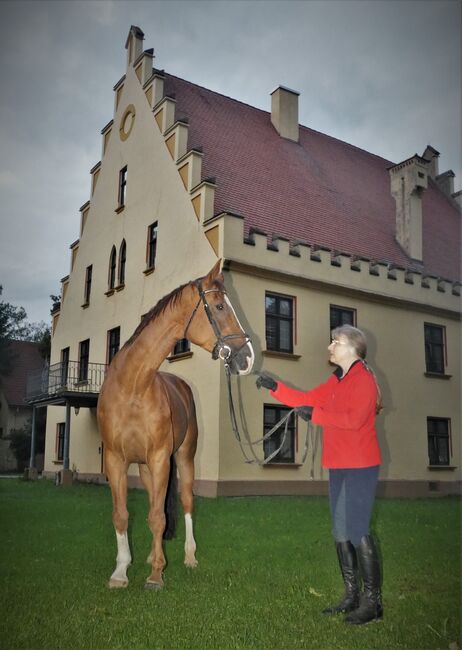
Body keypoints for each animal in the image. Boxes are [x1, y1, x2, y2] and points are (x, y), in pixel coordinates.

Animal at [97, 260, 254, 588]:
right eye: (220, 306)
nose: (247, 358)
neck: (132, 387)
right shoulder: (116, 460)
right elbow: (123, 515)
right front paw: (121, 571)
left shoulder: (161, 459)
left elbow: (159, 517)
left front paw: (157, 575)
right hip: (146, 468)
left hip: (183, 458)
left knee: (186, 502)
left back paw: (188, 557)